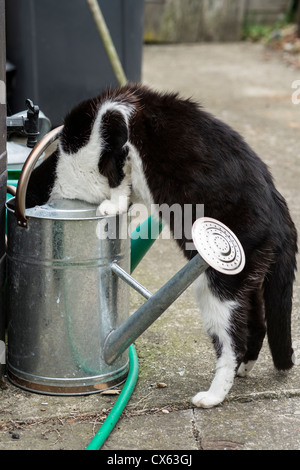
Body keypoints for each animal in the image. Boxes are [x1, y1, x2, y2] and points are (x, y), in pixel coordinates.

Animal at [27, 82, 298, 406]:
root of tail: (279, 210)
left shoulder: (112, 116)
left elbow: (117, 170)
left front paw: (112, 204)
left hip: (218, 282)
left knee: (232, 342)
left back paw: (213, 395)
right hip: (249, 280)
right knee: (257, 325)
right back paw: (244, 369)